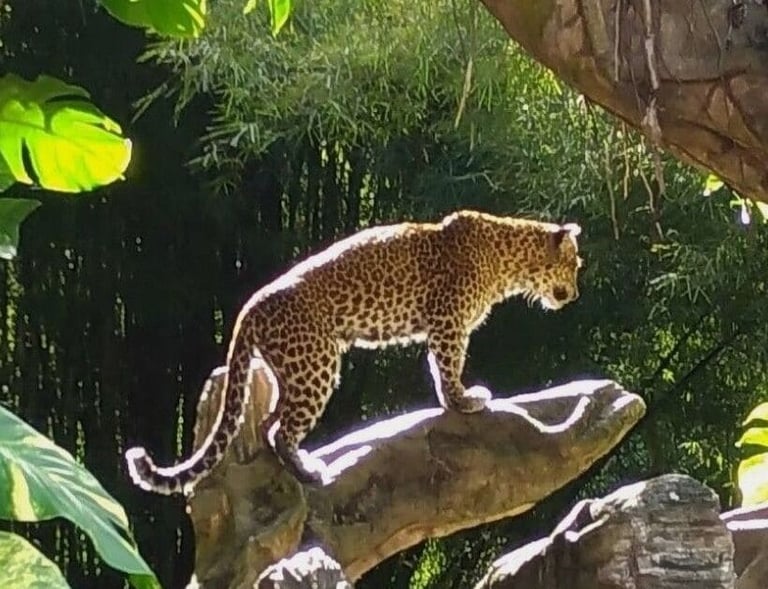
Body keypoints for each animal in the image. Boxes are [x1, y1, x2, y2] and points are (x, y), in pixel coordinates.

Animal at [125, 210, 583, 494]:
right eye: (576, 266)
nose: (576, 295)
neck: (508, 260)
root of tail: (250, 307)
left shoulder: (443, 326)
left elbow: (439, 368)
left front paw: (456, 401)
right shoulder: (449, 324)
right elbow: (448, 367)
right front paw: (464, 401)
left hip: (289, 371)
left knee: (269, 424)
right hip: (317, 365)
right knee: (280, 429)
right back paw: (309, 473)